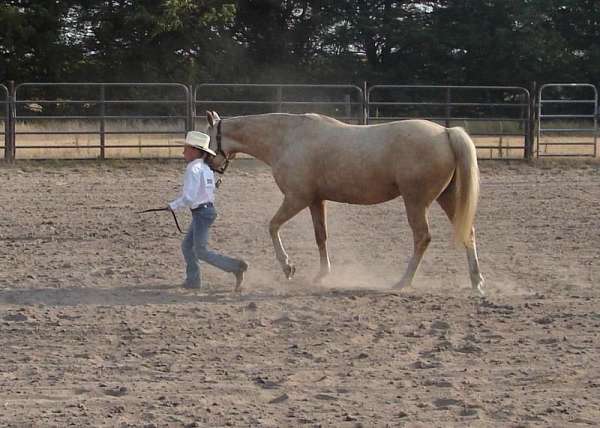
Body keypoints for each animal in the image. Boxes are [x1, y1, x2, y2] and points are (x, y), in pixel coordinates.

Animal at [204, 112, 486, 296]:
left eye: (207, 138)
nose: (209, 165)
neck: (288, 138)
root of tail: (446, 133)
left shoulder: (296, 198)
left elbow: (272, 226)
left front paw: (288, 267)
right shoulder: (316, 201)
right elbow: (321, 236)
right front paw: (322, 274)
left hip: (415, 202)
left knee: (422, 238)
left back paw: (403, 281)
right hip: (447, 197)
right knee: (468, 233)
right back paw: (476, 280)